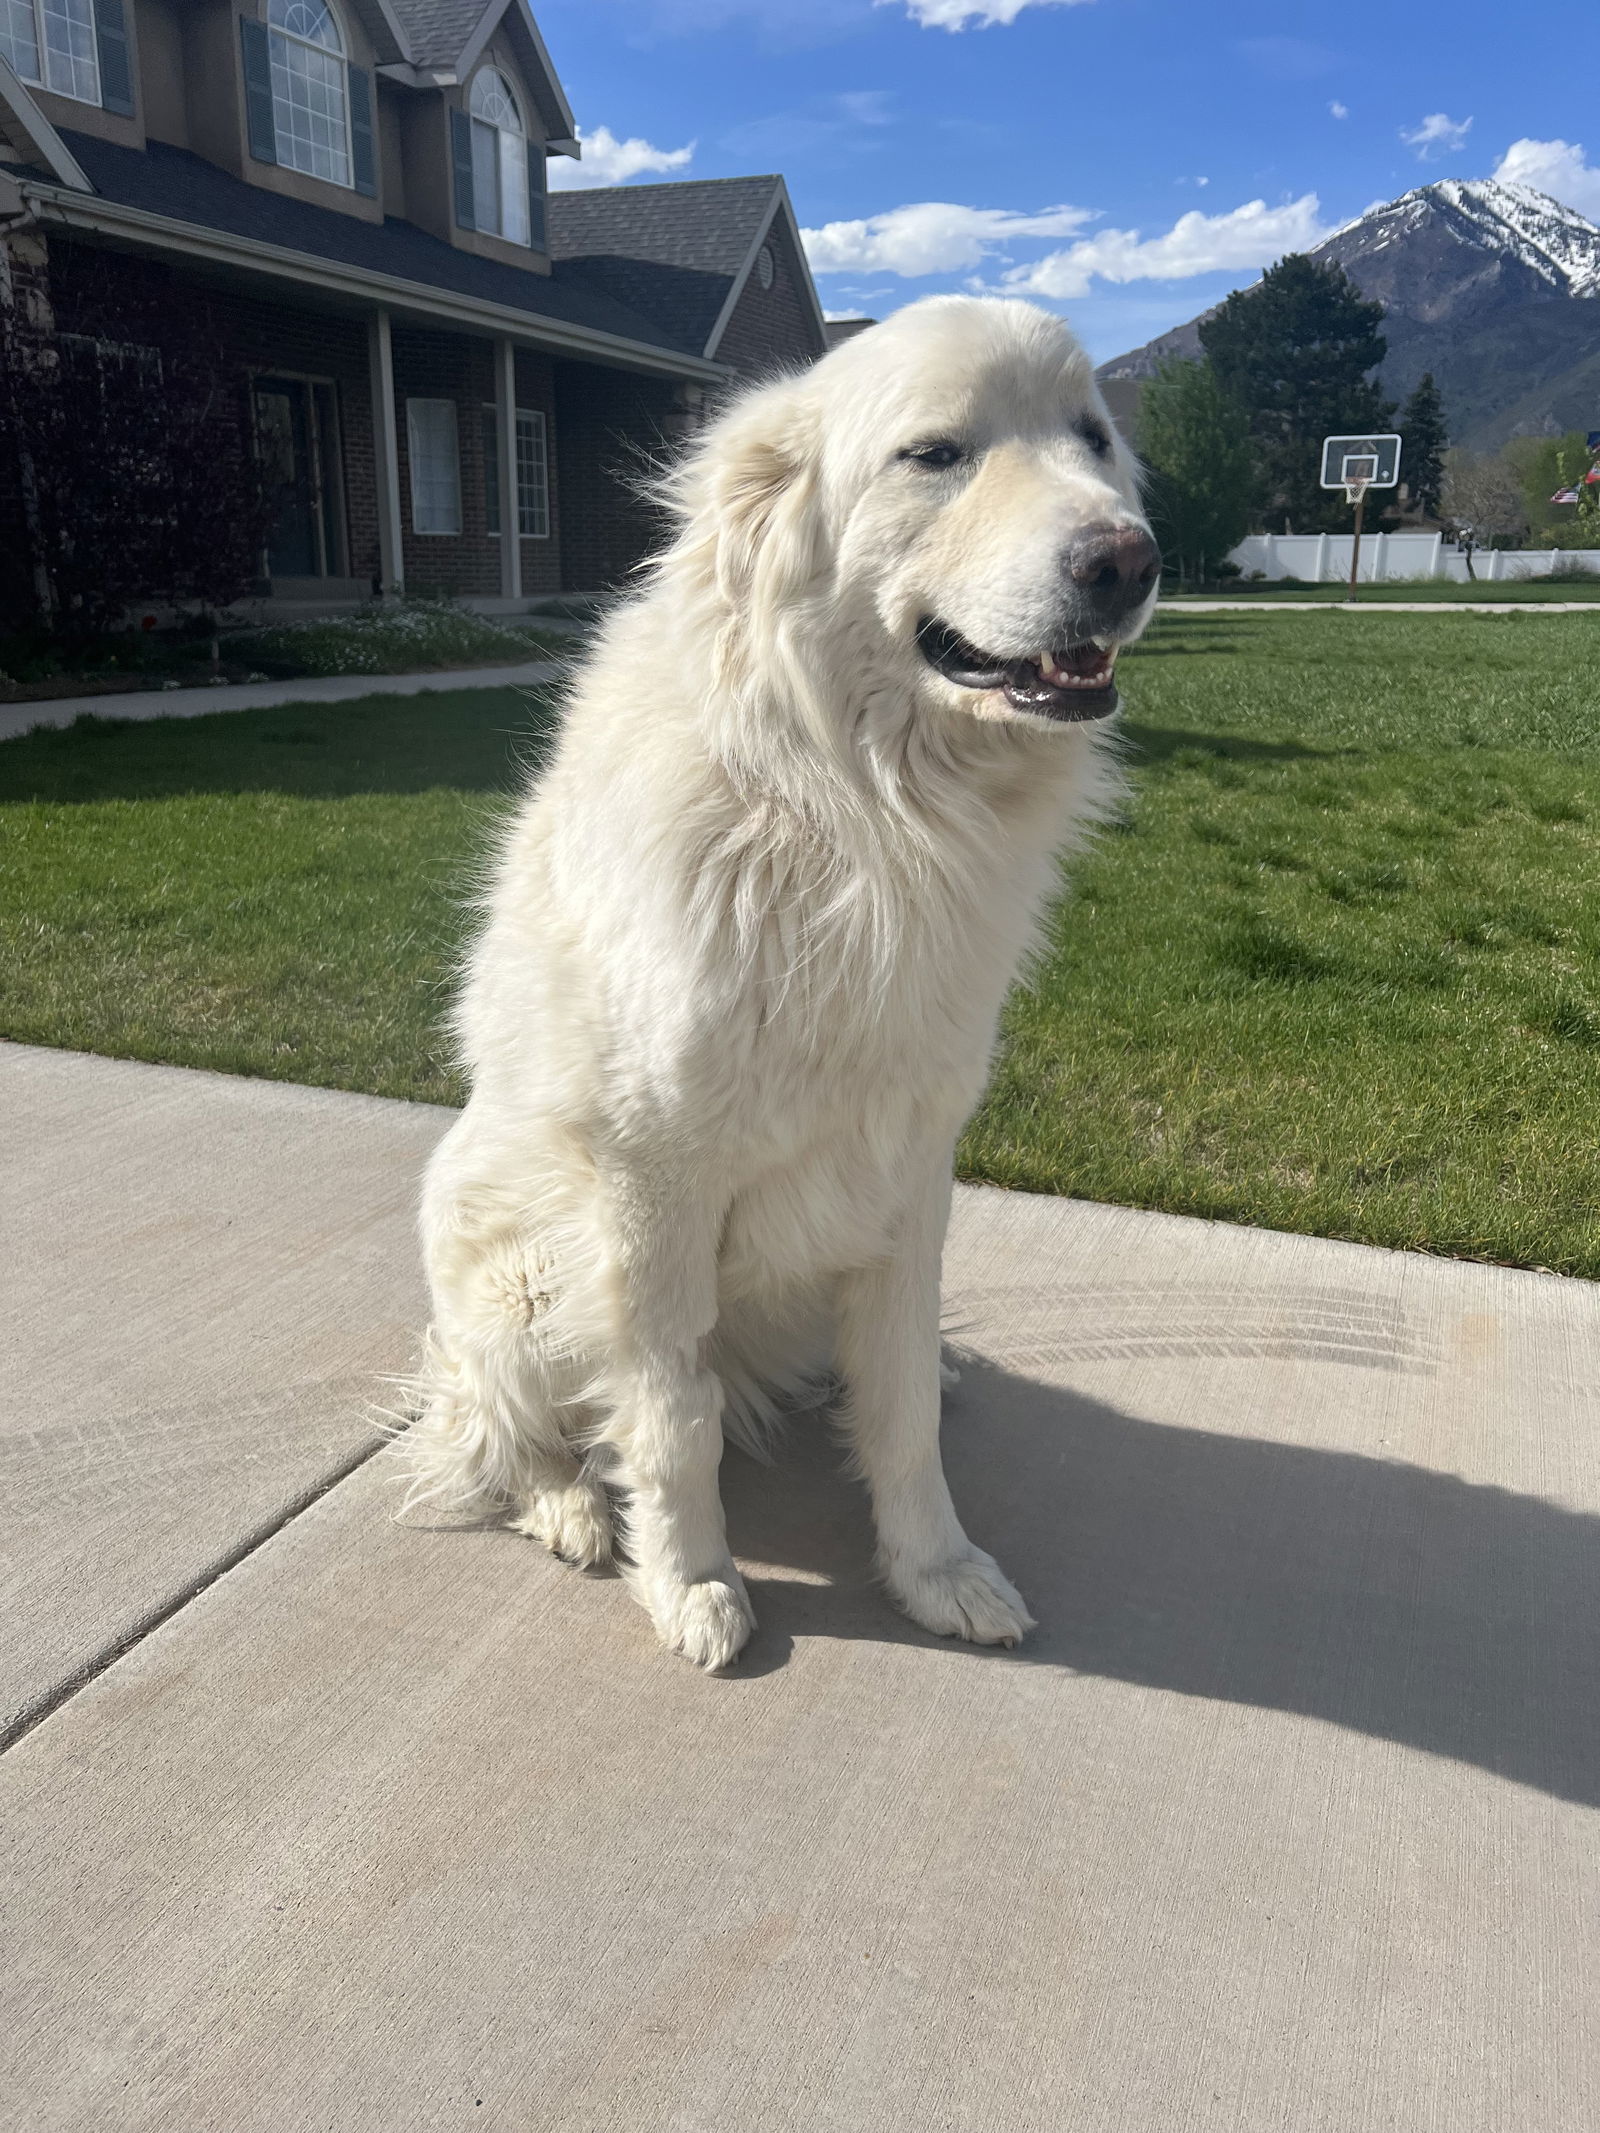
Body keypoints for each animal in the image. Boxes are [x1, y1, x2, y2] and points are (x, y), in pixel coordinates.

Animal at [409, 296, 1169, 1663]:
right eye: (934, 454)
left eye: (1090, 437)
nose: (1126, 561)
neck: (857, 804)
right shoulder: (649, 1186)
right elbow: (669, 1418)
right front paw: (691, 1582)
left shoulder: (914, 1161)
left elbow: (901, 1409)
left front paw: (934, 1570)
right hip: (516, 1271)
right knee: (495, 1428)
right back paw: (567, 1509)